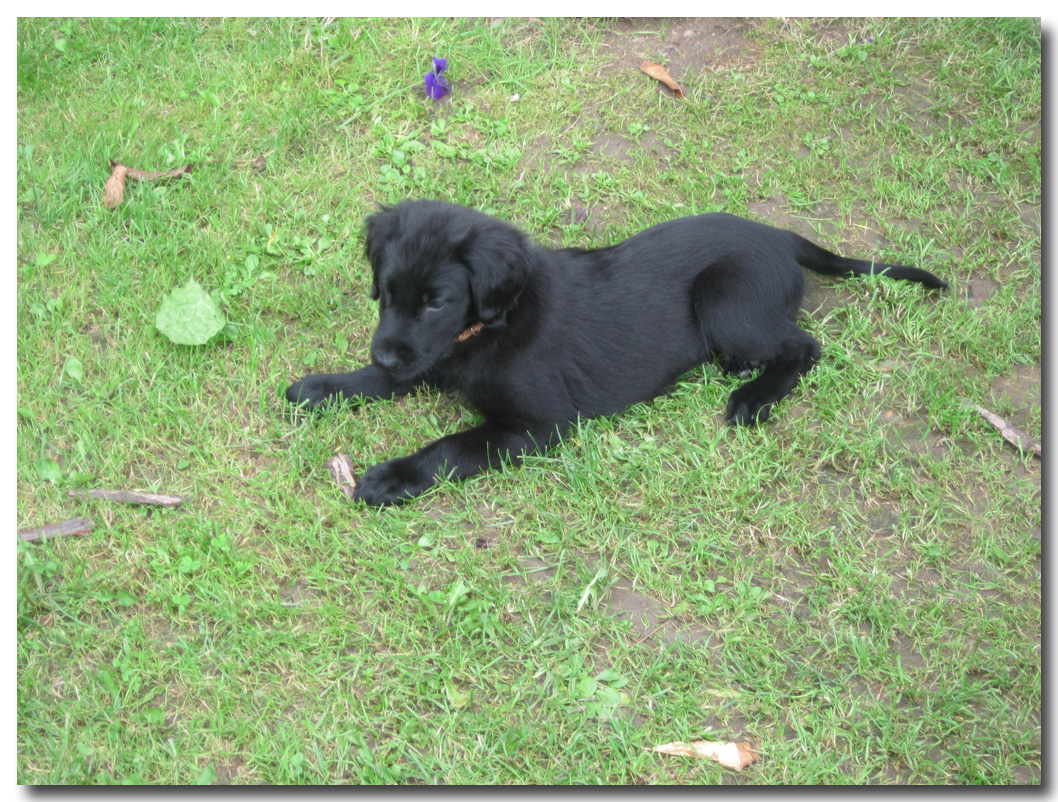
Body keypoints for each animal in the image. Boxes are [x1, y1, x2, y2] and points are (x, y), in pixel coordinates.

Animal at [286, 200, 946, 506]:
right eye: (386, 291)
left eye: (435, 303)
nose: (385, 352)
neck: (495, 323)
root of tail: (781, 237)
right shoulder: (432, 358)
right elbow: (380, 382)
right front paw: (323, 387)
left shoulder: (537, 425)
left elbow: (450, 446)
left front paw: (391, 476)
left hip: (726, 299)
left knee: (806, 345)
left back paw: (753, 396)